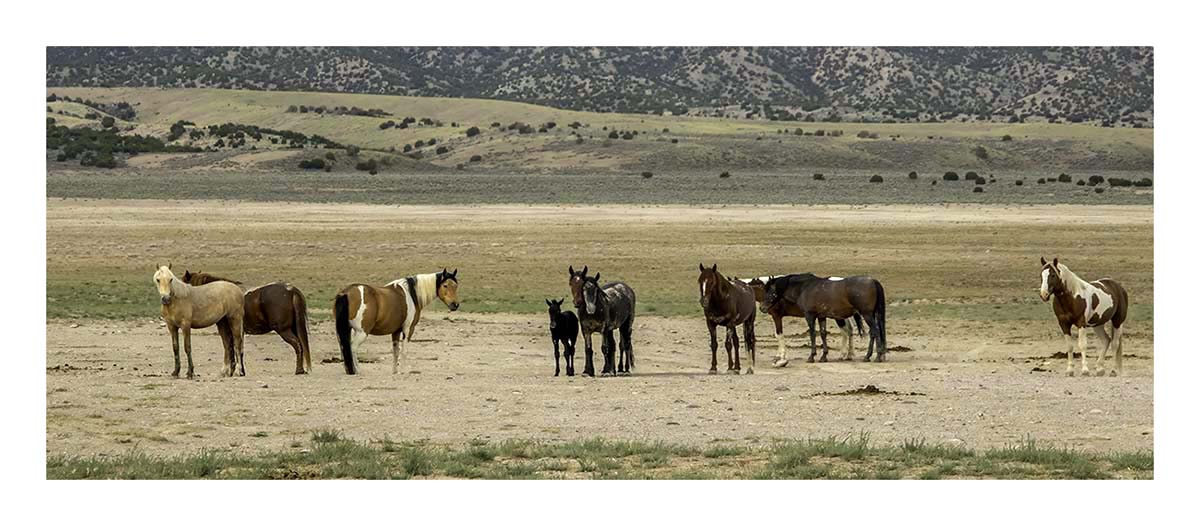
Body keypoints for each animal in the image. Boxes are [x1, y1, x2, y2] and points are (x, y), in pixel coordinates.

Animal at [181, 271, 312, 375]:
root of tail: (291, 291)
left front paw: (226, 370)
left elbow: (228, 346)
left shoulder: (224, 328)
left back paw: (299, 370)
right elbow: (237, 348)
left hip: (283, 330)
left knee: (297, 345)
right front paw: (237, 370)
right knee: (301, 345)